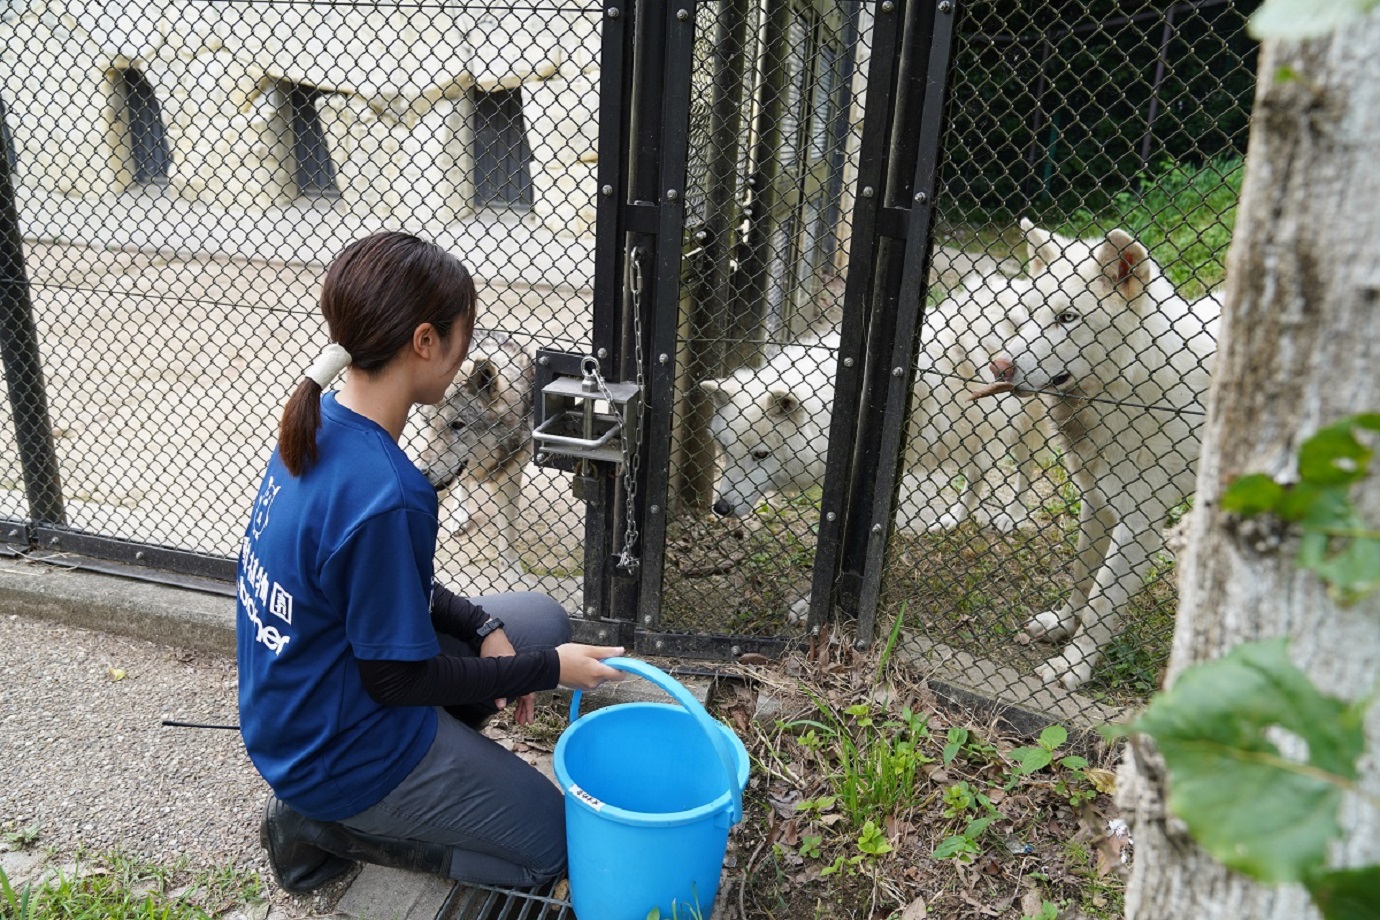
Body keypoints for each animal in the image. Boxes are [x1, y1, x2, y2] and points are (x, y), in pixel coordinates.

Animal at [971, 220, 1219, 689]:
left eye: (1067, 318)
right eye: (1027, 314)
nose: (999, 366)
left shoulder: (1139, 525)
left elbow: (1102, 602)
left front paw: (1073, 667)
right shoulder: (1097, 502)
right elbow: (1082, 578)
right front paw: (1061, 626)